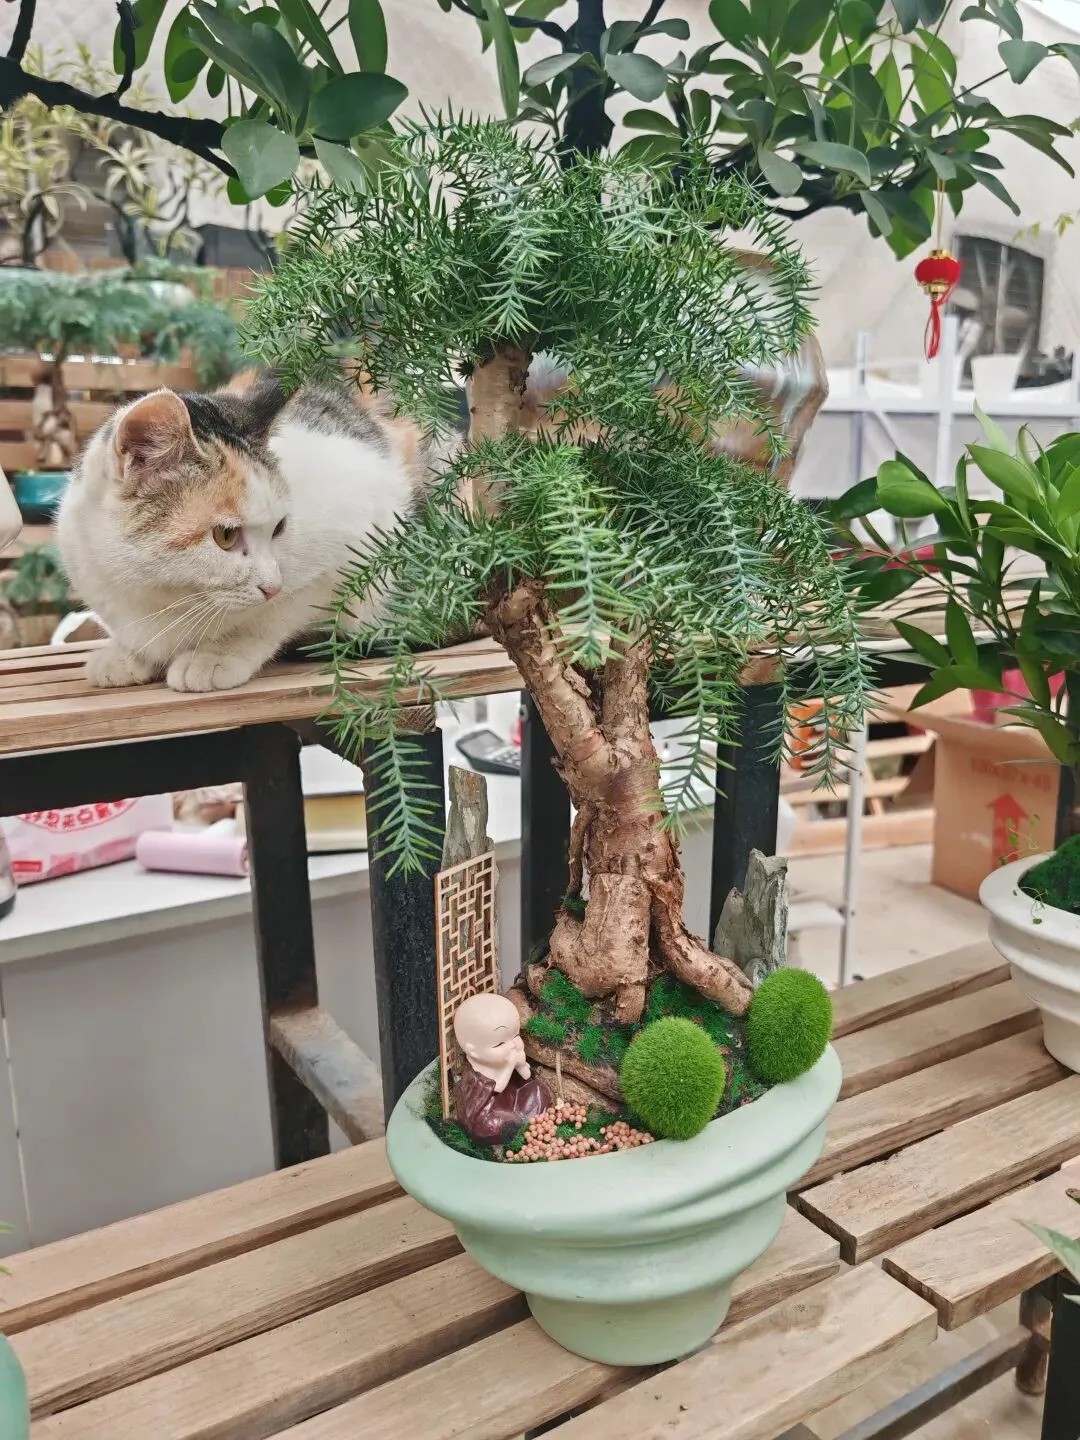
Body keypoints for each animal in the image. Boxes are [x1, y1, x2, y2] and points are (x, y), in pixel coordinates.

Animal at [57, 372, 442, 693]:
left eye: (280, 528)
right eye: (225, 536)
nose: (273, 586)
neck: (161, 596)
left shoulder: (349, 544)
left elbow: (275, 614)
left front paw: (217, 655)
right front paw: (125, 654)